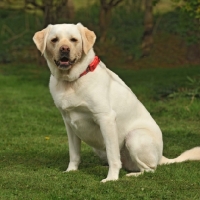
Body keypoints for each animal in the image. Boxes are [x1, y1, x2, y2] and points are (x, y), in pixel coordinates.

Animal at [33, 22, 200, 182]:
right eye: (54, 40)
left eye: (74, 40)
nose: (64, 49)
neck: (72, 81)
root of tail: (161, 157)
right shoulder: (69, 122)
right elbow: (74, 153)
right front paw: (71, 171)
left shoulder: (105, 118)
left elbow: (113, 155)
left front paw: (111, 179)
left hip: (134, 137)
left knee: (149, 169)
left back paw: (132, 175)